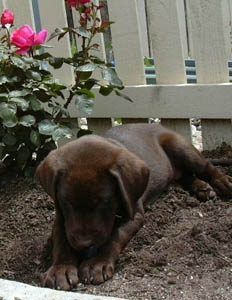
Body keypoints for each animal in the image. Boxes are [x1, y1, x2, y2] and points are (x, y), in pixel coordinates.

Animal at [36, 123, 232, 290]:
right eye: (66, 201)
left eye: (104, 202)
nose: (84, 245)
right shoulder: (61, 218)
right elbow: (62, 241)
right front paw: (61, 269)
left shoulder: (134, 214)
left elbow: (116, 234)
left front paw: (96, 263)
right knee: (186, 176)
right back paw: (202, 188)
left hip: (181, 148)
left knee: (206, 167)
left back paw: (222, 183)